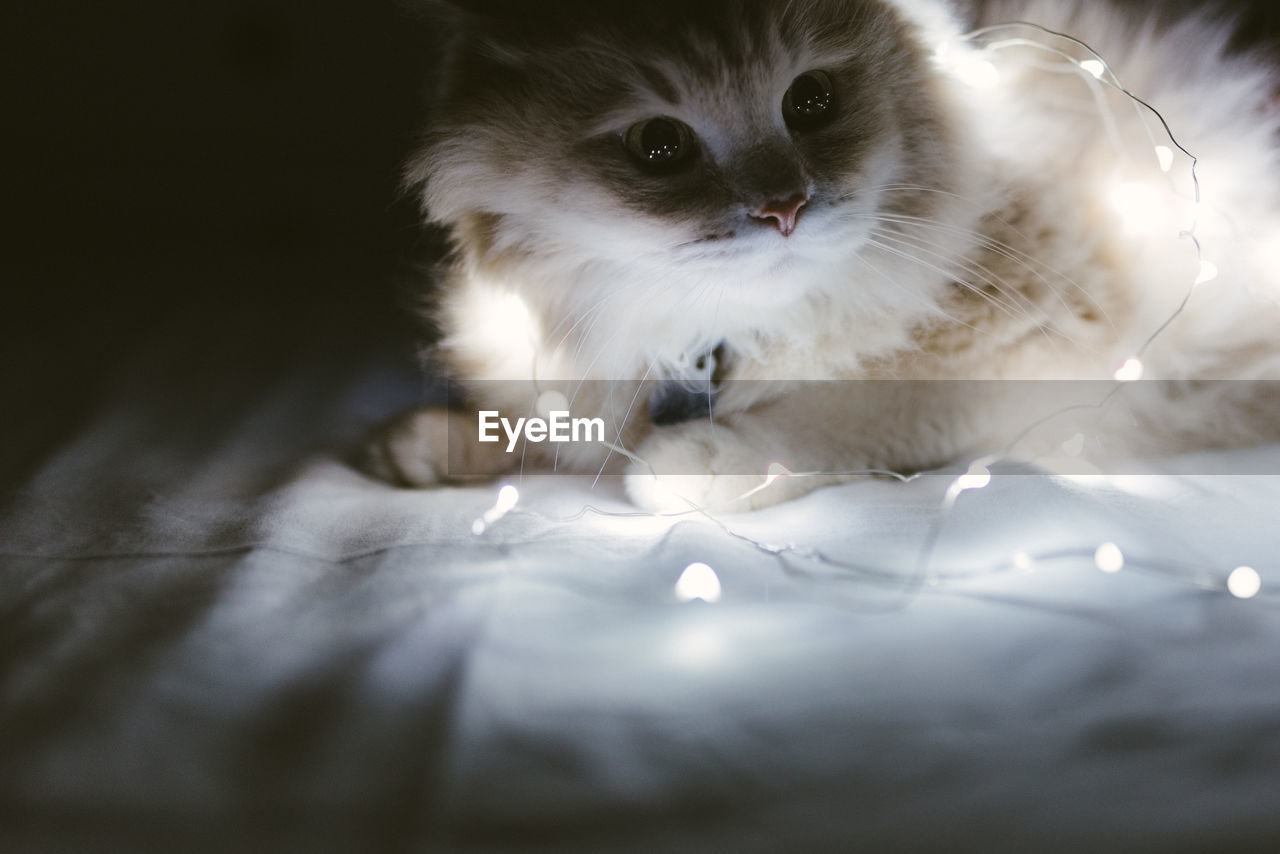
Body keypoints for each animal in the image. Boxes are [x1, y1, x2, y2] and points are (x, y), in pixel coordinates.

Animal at [368, 0, 1280, 512]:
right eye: (660, 145)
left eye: (811, 101)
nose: (785, 207)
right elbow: (561, 425)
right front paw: (432, 446)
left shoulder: (1068, 352)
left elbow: (852, 413)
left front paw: (696, 462)